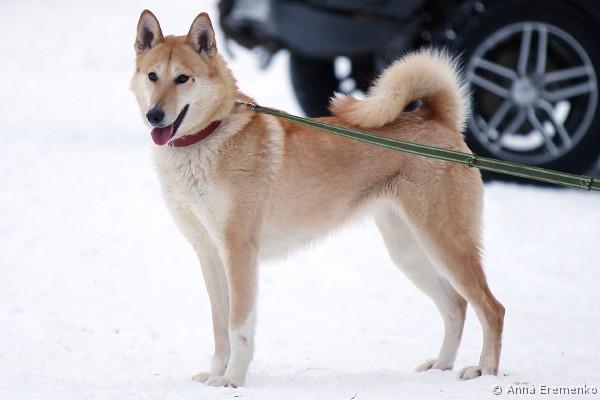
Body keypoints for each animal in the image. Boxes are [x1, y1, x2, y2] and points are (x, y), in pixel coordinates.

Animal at [131, 10, 505, 388]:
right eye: (152, 76)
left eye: (182, 78)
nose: (154, 115)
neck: (208, 138)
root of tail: (438, 119)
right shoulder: (209, 255)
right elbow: (220, 329)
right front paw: (215, 375)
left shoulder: (239, 253)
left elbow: (238, 328)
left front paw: (233, 380)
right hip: (409, 253)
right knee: (456, 306)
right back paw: (441, 365)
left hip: (446, 244)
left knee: (492, 308)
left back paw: (484, 371)